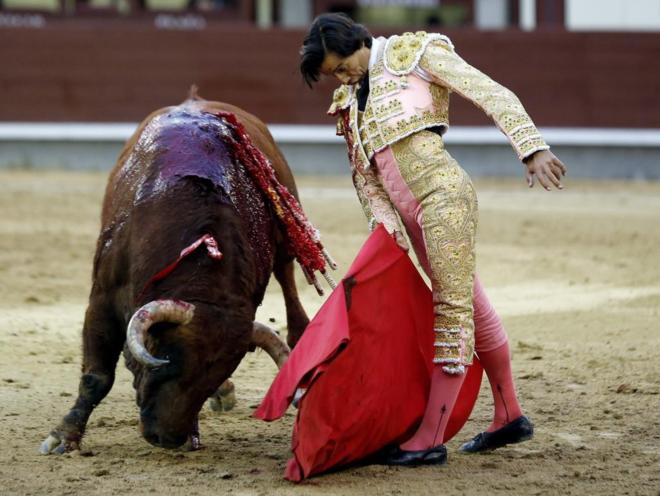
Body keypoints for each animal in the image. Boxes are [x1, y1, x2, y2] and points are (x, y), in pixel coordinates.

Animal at [39, 94, 314, 454]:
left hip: (286, 241)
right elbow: (97, 376)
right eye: (169, 358)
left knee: (291, 292)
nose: (167, 437)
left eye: (216, 374)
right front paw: (63, 436)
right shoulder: (102, 299)